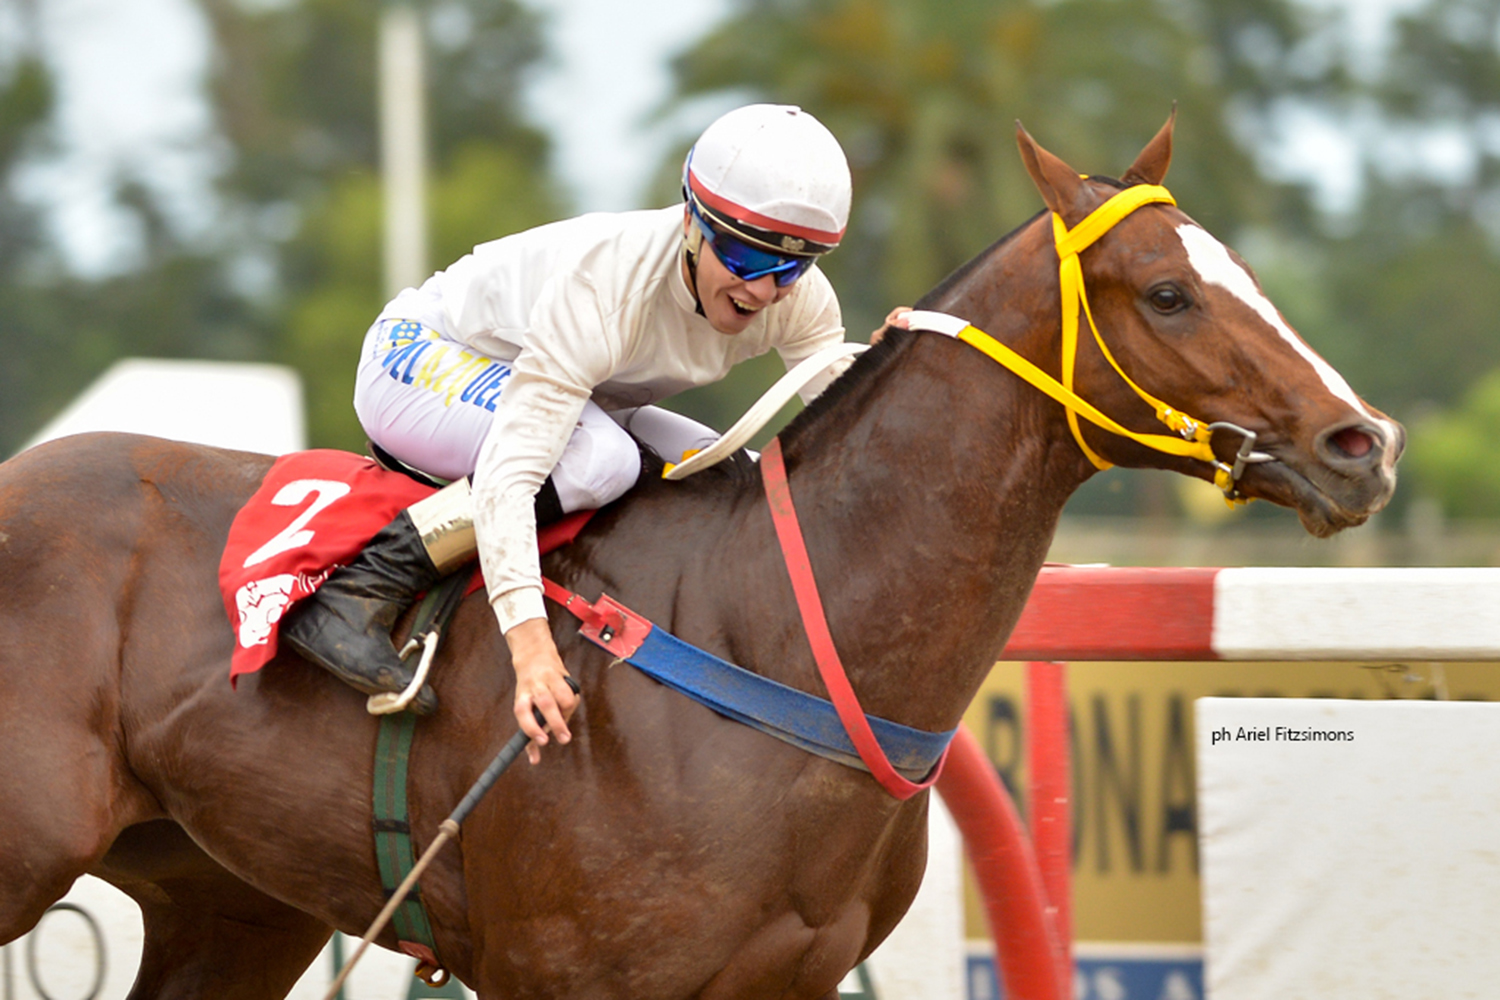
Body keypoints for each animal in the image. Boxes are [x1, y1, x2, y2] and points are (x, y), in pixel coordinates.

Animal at [0, 116, 1400, 999]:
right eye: (1168, 293)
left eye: (1244, 270)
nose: (1362, 442)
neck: (775, 631)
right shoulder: (567, 976)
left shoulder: (791, 978)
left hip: (230, 902)